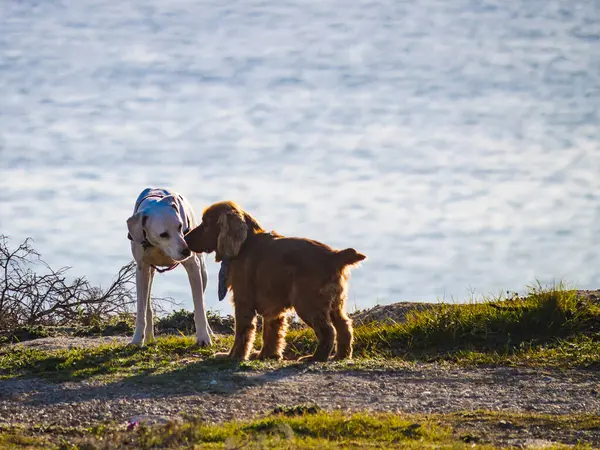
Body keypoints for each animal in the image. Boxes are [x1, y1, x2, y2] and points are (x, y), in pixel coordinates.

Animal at [125, 188, 212, 346]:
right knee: (147, 306)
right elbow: (141, 311)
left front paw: (203, 338)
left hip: (203, 271)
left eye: (180, 226)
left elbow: (199, 307)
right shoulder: (141, 269)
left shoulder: (193, 266)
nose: (187, 251)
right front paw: (137, 340)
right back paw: (148, 337)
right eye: (163, 234)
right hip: (149, 274)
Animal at [185, 201, 366, 362]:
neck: (245, 244)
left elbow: (242, 334)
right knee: (344, 326)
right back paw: (341, 355)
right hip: (335, 304)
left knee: (328, 331)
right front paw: (267, 355)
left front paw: (233, 356)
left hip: (307, 303)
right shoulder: (273, 307)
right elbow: (272, 333)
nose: (185, 238)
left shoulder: (243, 301)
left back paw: (316, 358)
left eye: (206, 223)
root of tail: (334, 256)